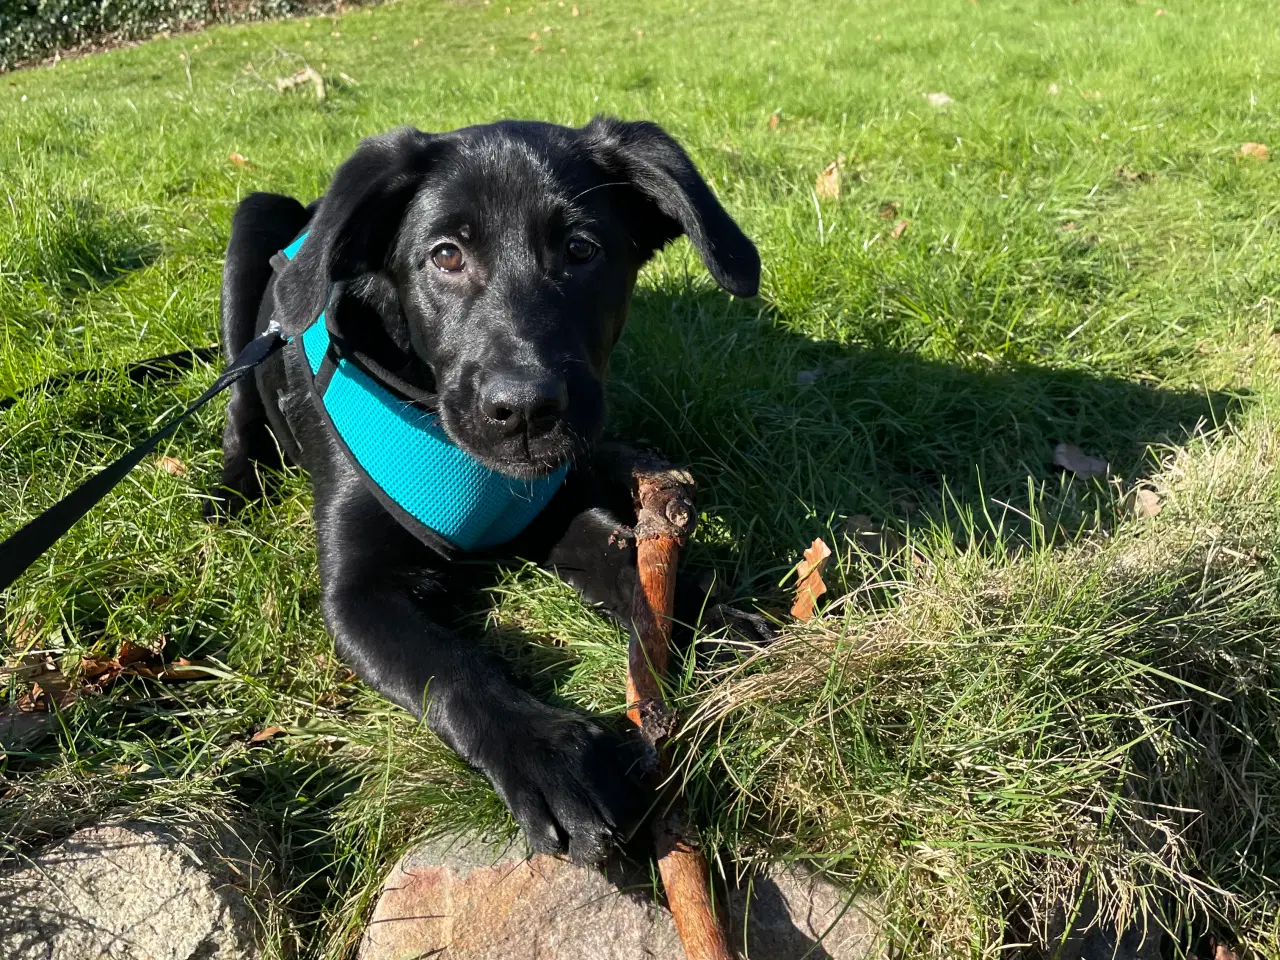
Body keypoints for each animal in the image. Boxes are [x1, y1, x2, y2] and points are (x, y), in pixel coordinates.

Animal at [215, 116, 762, 870]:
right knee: (239, 404)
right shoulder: (358, 593)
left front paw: (710, 612)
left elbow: (623, 556)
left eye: (582, 250)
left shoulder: (544, 509)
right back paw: (232, 489)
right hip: (251, 233)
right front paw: (552, 757)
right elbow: (450, 666)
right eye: (445, 255)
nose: (526, 411)